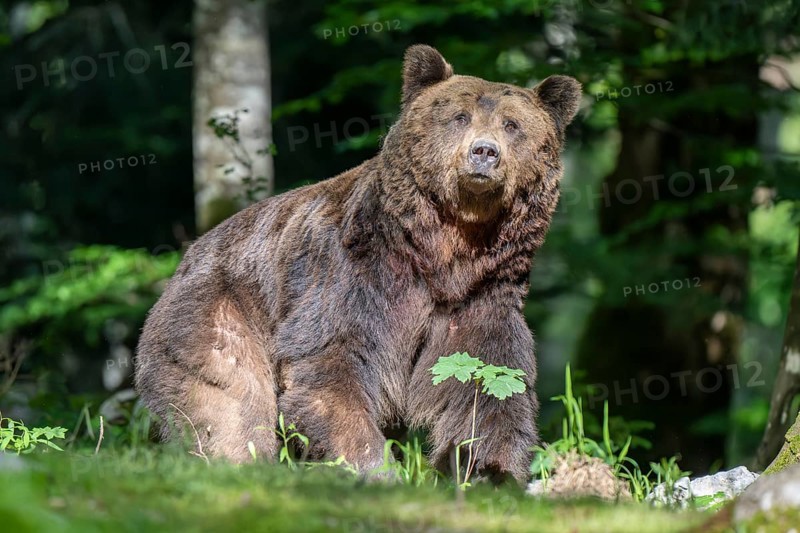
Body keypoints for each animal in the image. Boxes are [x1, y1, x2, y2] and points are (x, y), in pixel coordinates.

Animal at [134, 44, 581, 483]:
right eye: (459, 117)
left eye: (512, 125)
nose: (484, 152)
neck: (445, 251)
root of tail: (187, 257)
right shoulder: (358, 275)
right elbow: (331, 363)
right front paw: (374, 467)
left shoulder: (482, 297)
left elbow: (487, 384)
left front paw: (491, 472)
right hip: (216, 315)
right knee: (227, 402)